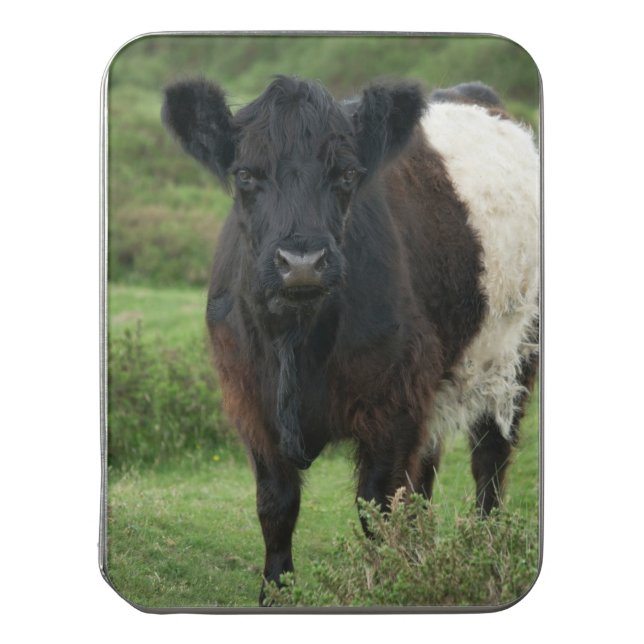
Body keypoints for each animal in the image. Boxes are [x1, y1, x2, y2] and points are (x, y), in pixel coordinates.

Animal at [162, 75, 540, 604]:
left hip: (515, 354)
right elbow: (276, 505)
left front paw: (388, 586)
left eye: (346, 175)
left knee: (490, 459)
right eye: (246, 175)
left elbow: (378, 508)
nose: (301, 262)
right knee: (427, 474)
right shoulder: (249, 400)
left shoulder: (394, 402)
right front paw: (276, 594)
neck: (296, 342)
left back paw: (487, 554)